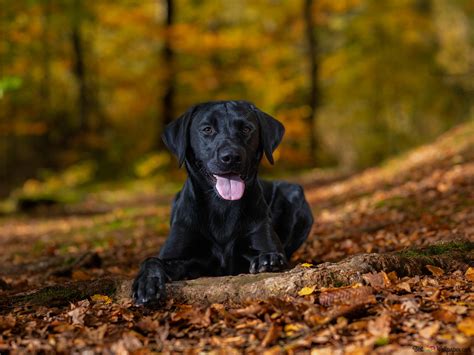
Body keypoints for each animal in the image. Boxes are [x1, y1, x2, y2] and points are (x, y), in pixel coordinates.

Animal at [131, 101, 312, 306]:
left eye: (246, 129)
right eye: (207, 129)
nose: (231, 157)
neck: (222, 207)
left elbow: (266, 254)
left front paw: (268, 259)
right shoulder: (182, 256)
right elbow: (152, 260)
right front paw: (147, 284)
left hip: (295, 192)